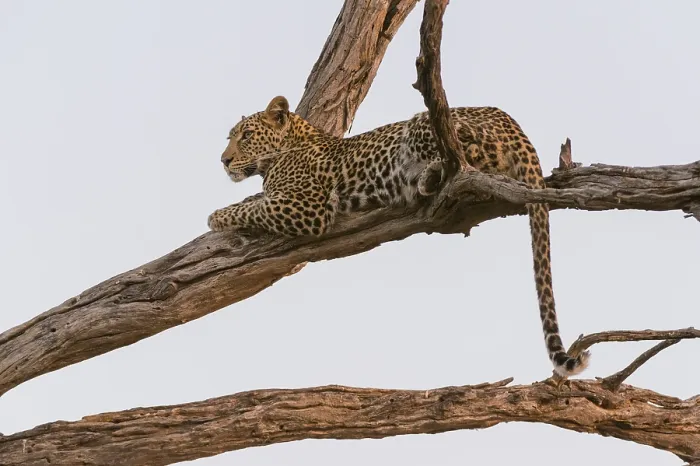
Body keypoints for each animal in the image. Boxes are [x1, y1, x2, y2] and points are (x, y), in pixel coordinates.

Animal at [208, 95, 590, 377]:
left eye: (245, 135)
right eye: (231, 136)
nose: (223, 161)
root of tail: (510, 120)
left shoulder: (307, 208)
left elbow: (250, 208)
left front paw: (215, 217)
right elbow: (253, 200)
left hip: (423, 122)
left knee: (464, 158)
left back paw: (427, 178)